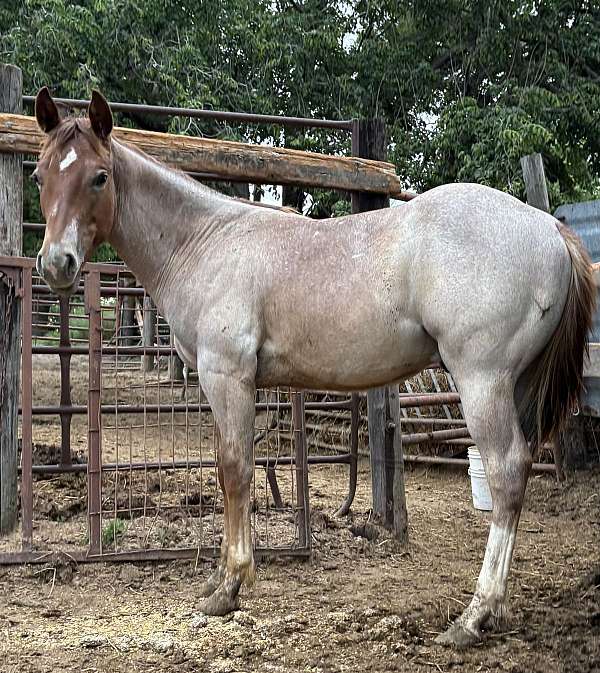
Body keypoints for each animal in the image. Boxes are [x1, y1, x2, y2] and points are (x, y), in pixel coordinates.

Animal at [32, 87, 594, 647]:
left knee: (506, 473)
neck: (206, 241)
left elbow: (234, 470)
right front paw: (219, 577)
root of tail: (548, 227)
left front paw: (229, 587)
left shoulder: (227, 377)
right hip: (514, 386)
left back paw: (474, 615)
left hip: (482, 382)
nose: (56, 263)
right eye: (40, 174)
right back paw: (496, 612)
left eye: (99, 176)